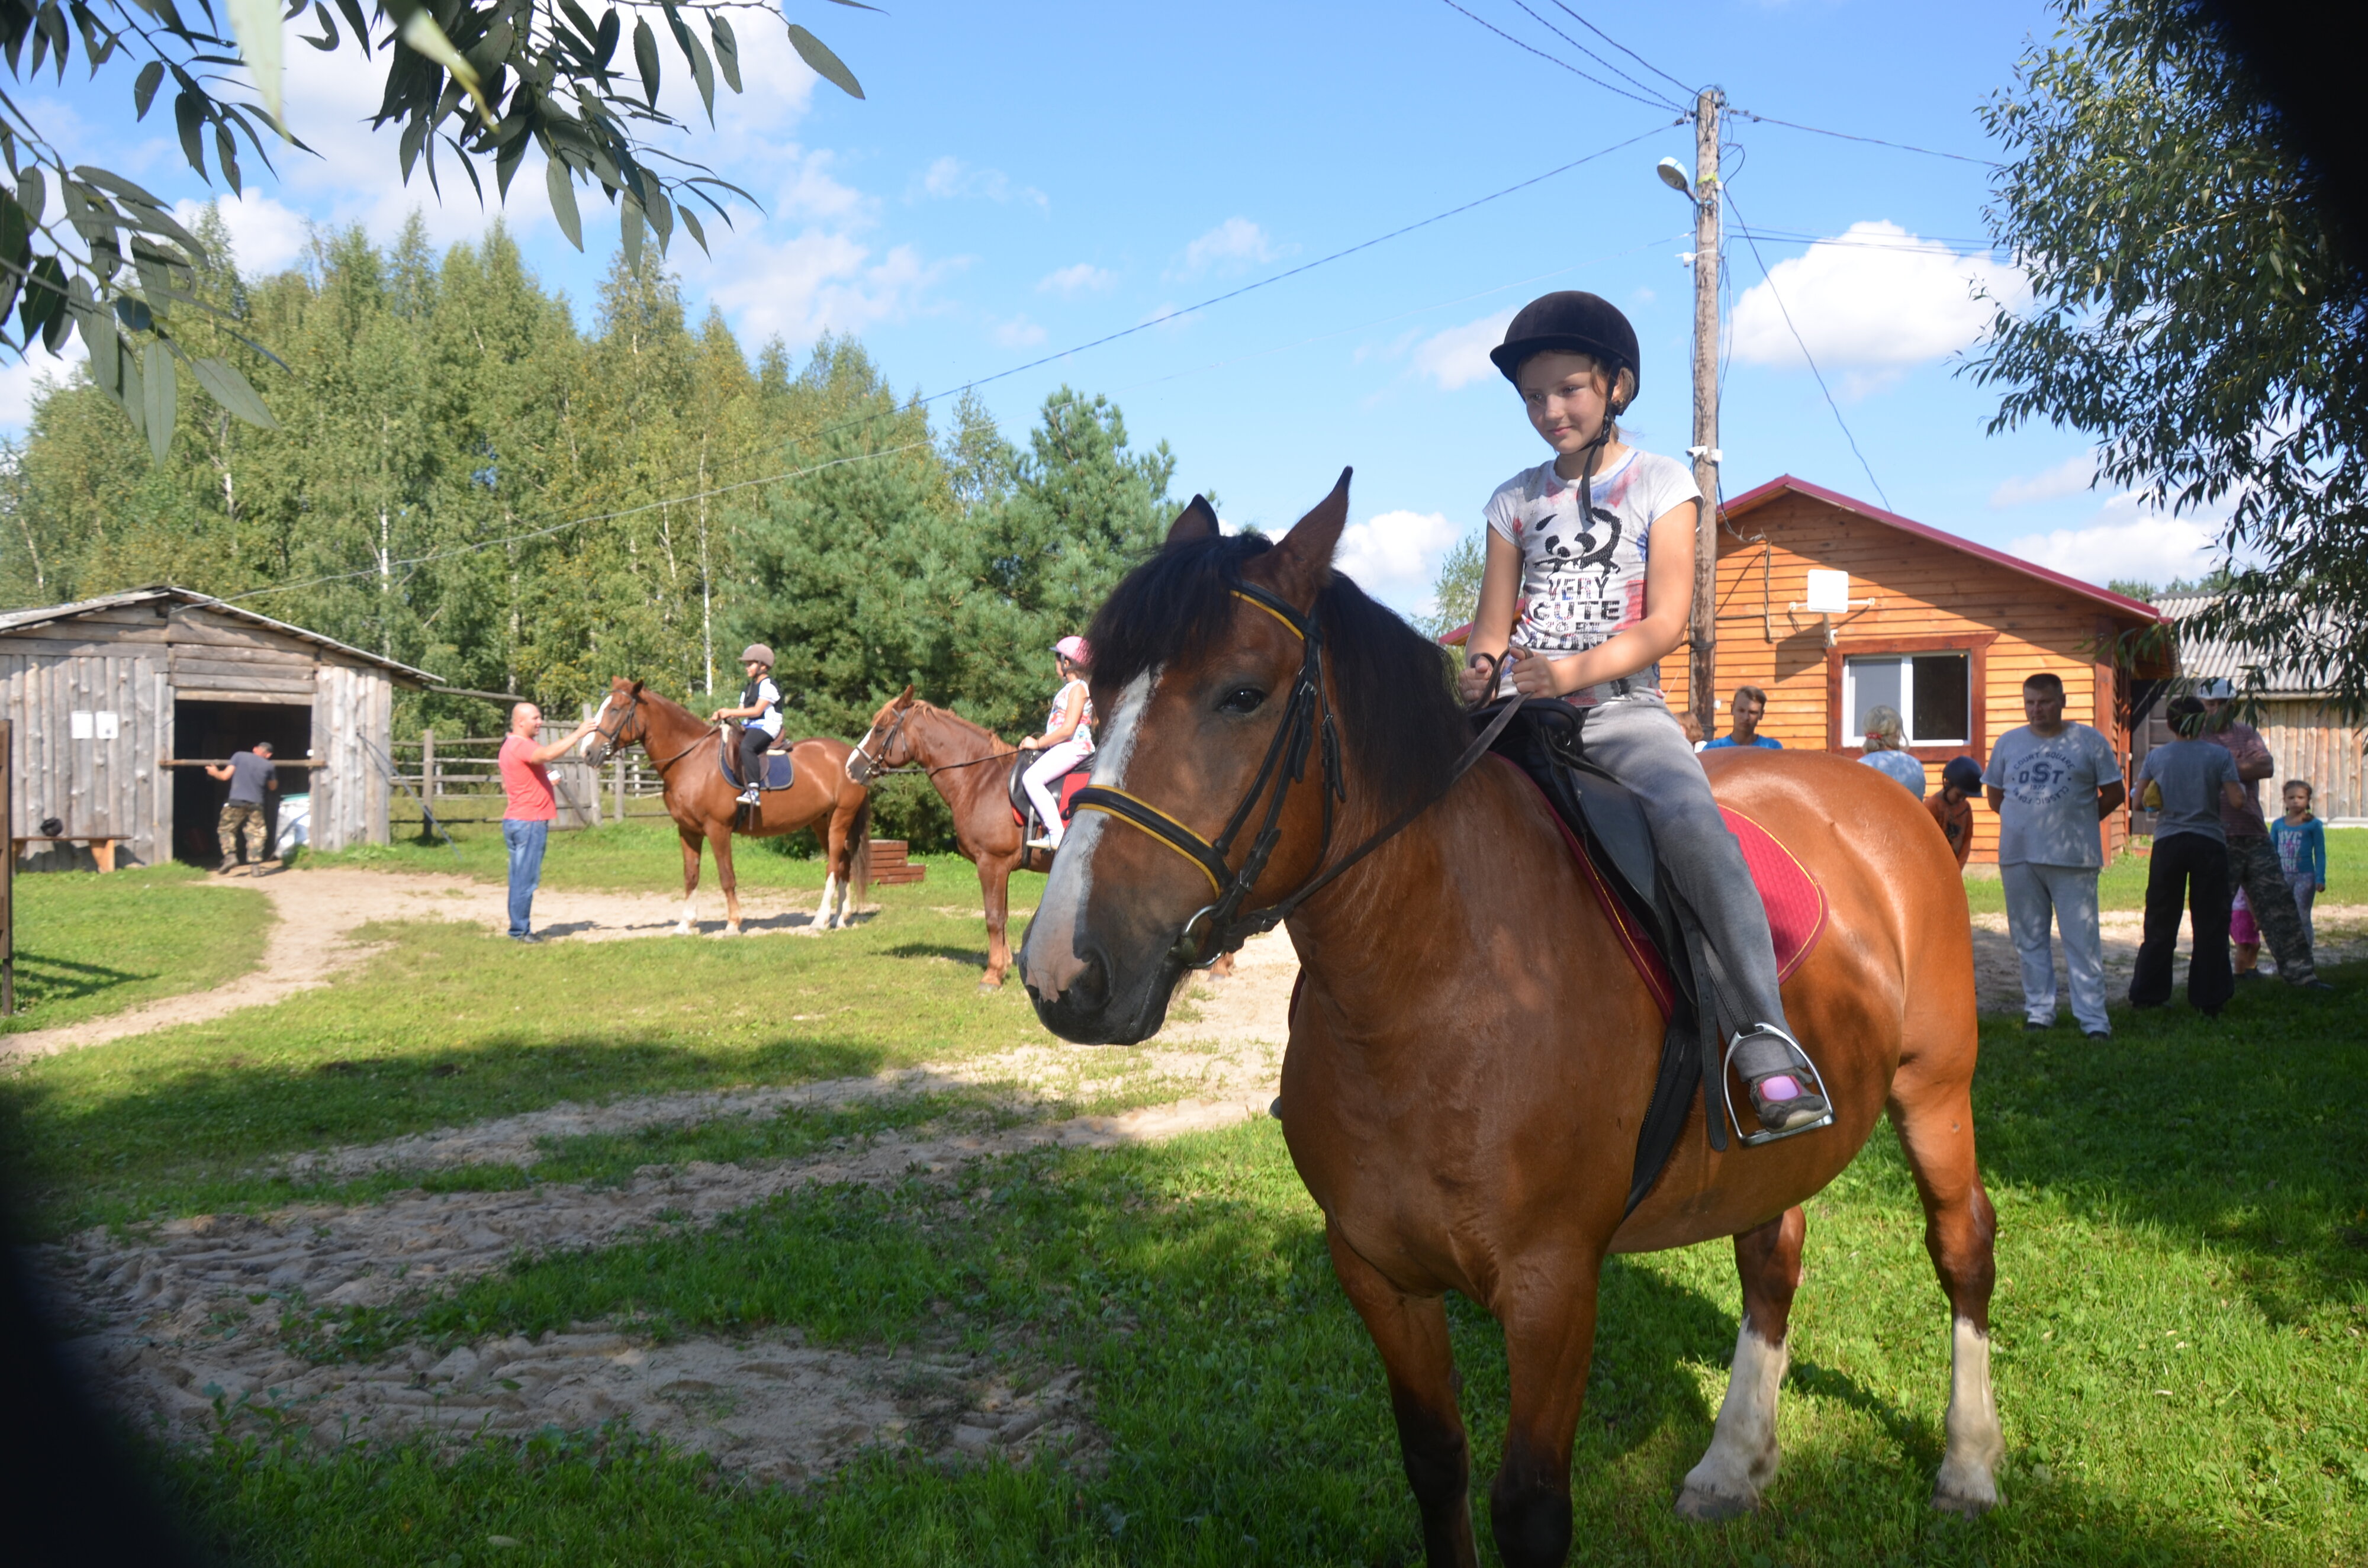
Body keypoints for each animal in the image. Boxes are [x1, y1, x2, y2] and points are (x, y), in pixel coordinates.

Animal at [585, 677, 876, 933]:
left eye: (615, 709)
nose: (588, 753)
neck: (692, 759)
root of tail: (853, 759)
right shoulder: (688, 831)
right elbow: (691, 875)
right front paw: (686, 924)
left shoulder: (718, 829)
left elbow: (727, 877)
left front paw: (733, 924)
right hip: (821, 822)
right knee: (844, 863)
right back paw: (840, 918)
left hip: (840, 818)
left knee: (834, 865)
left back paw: (820, 920)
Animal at [1018, 478, 1999, 1568]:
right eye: (1102, 697)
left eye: (1242, 694)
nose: (1064, 969)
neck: (1431, 982)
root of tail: (1888, 797)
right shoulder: (1378, 1274)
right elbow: (1436, 1463)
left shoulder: (1551, 1289)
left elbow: (1530, 1504)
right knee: (1771, 1253)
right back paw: (1732, 1463)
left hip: (1935, 1086)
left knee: (1963, 1244)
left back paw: (1968, 1466)